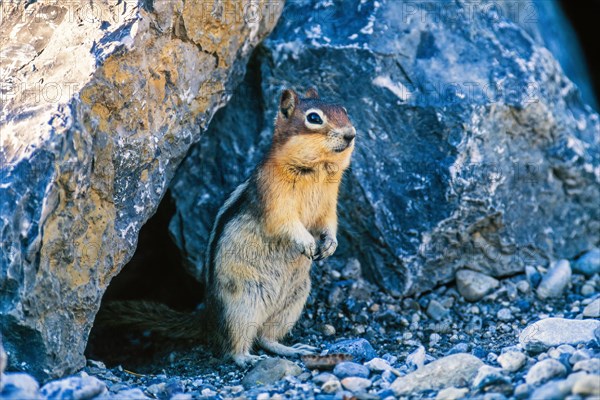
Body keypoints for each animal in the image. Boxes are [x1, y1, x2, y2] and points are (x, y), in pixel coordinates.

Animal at [96, 88, 354, 368]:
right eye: (314, 118)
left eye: (344, 110)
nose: (350, 134)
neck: (317, 170)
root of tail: (208, 316)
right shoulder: (274, 198)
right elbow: (285, 223)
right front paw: (307, 242)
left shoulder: (329, 205)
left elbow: (328, 224)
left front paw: (330, 245)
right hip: (242, 305)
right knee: (235, 344)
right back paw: (246, 358)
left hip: (293, 300)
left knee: (266, 337)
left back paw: (290, 349)